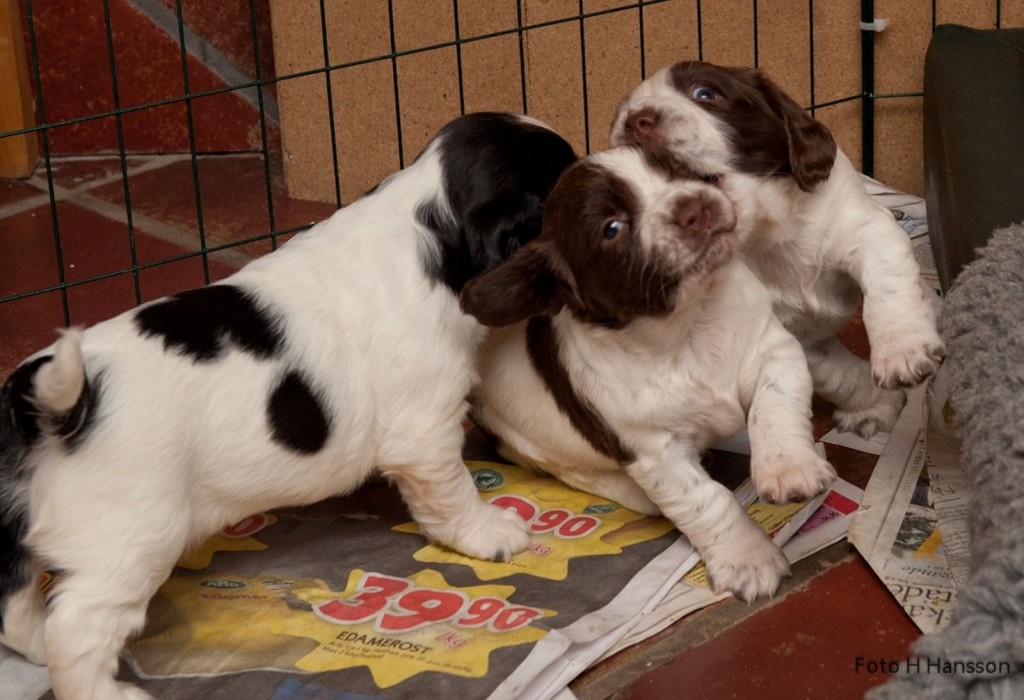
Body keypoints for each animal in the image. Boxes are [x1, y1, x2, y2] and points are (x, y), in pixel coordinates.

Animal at [0, 112, 577, 695]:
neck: (430, 226)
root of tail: (53, 412)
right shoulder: (425, 430)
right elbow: (452, 491)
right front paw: (489, 532)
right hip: (130, 542)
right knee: (76, 629)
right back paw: (109, 690)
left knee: (16, 605)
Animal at [462, 147, 831, 601]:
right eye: (612, 228)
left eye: (680, 172)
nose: (693, 206)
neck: (687, 324)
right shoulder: (656, 452)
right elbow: (709, 501)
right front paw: (748, 557)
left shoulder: (774, 352)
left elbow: (774, 407)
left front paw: (787, 467)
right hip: (530, 447)